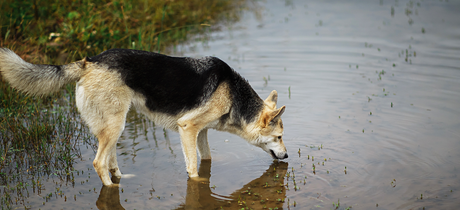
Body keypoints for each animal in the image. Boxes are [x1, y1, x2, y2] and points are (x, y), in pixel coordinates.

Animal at [0, 48, 288, 186]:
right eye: (279, 137)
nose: (286, 157)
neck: (233, 95)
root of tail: (88, 62)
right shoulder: (187, 128)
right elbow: (194, 170)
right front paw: (198, 183)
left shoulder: (201, 132)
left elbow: (206, 160)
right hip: (116, 124)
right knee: (98, 162)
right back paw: (112, 188)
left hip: (114, 126)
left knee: (109, 160)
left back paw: (121, 178)